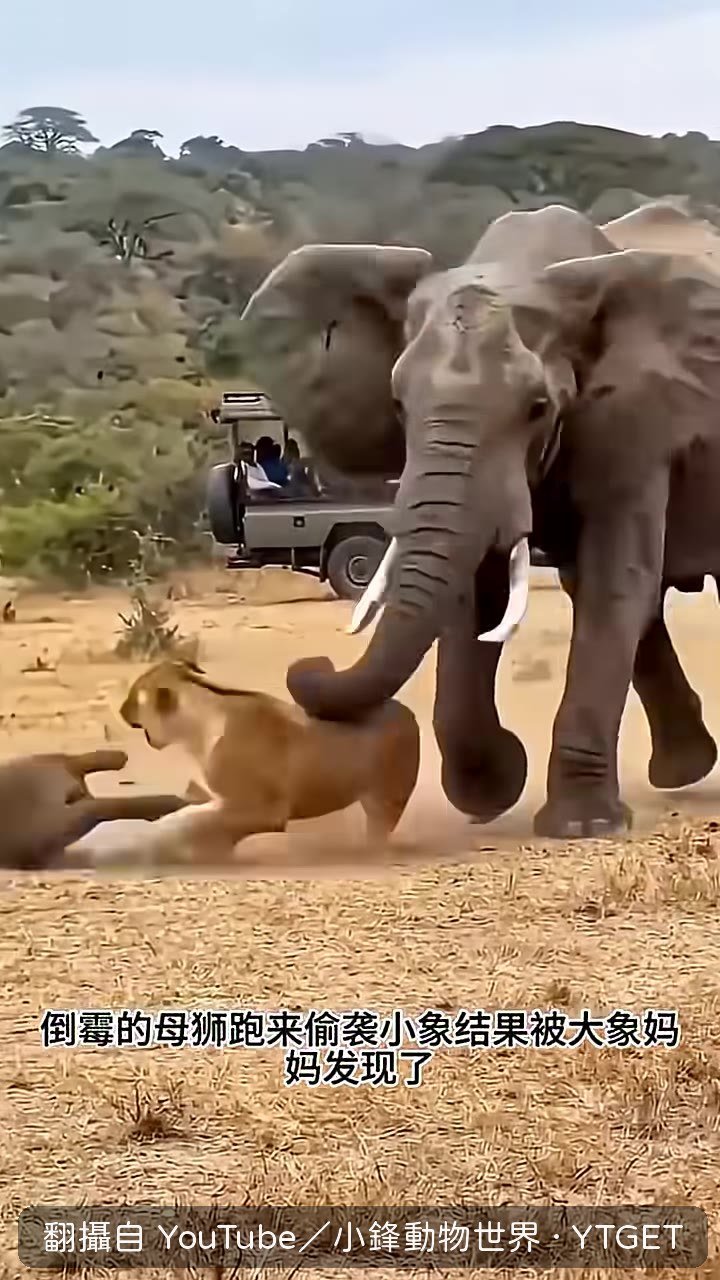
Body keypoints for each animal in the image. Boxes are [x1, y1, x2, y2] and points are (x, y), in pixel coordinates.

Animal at [238, 200, 720, 839]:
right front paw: (492, 790)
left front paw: (581, 826)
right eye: (399, 406)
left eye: (539, 407)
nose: (310, 665)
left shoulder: (638, 417)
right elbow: (476, 594)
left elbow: (613, 580)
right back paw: (683, 771)